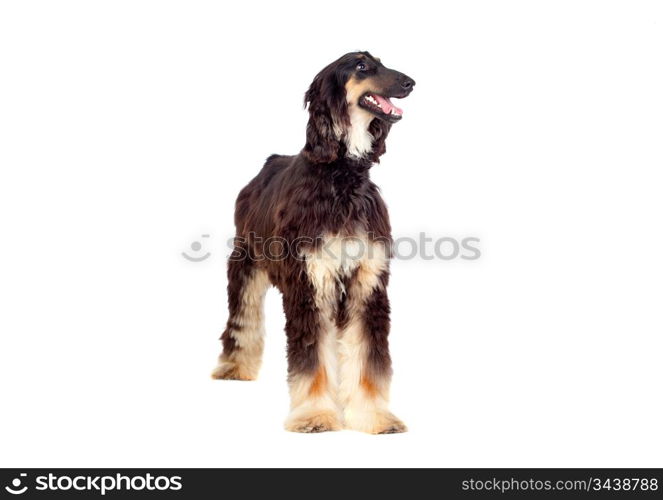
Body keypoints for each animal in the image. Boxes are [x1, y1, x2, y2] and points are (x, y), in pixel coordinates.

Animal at [213, 51, 416, 434]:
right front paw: (315, 415)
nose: (411, 82)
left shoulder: (367, 283)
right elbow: (311, 359)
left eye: (382, 62)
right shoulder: (310, 281)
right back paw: (234, 367)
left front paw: (374, 416)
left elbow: (368, 356)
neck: (341, 177)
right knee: (243, 317)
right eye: (362, 66)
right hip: (245, 261)